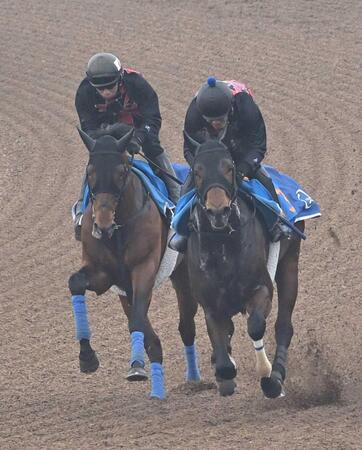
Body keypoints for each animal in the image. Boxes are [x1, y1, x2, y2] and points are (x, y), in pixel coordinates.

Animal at [68, 128, 198, 400]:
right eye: (89, 171)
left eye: (121, 171)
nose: (102, 226)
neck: (119, 229)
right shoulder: (105, 275)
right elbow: (75, 283)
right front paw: (87, 357)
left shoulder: (143, 268)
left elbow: (138, 316)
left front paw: (137, 364)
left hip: (183, 275)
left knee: (186, 325)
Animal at [178, 135, 306, 400]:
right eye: (197, 171)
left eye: (229, 167)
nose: (218, 211)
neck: (223, 244)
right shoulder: (211, 304)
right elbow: (223, 355)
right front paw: (225, 372)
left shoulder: (261, 289)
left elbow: (256, 327)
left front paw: (267, 375)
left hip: (289, 264)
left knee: (283, 326)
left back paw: (277, 376)